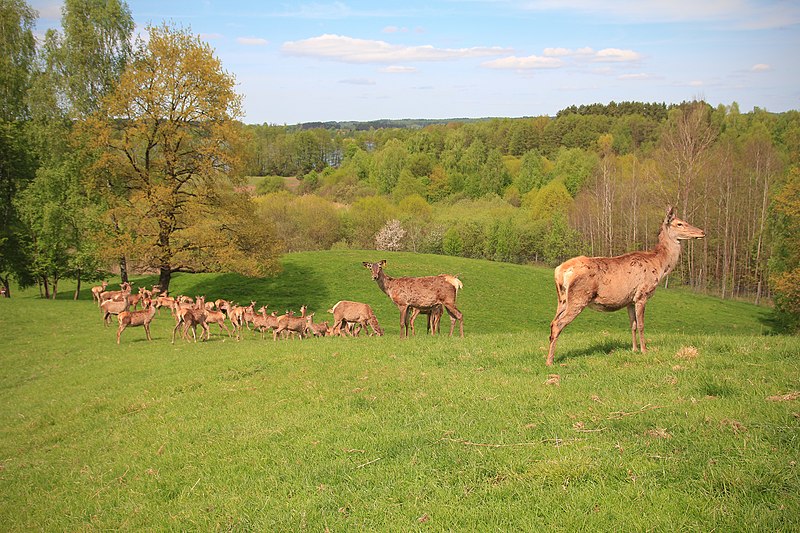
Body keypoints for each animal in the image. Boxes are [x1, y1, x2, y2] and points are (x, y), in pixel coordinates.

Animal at [544, 205, 708, 366]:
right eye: (680, 223)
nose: (702, 232)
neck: (660, 265)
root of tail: (559, 271)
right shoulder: (642, 294)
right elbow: (641, 324)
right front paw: (644, 350)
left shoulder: (630, 300)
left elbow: (632, 325)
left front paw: (634, 349)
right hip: (579, 297)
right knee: (558, 324)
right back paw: (550, 361)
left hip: (562, 300)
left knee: (552, 323)